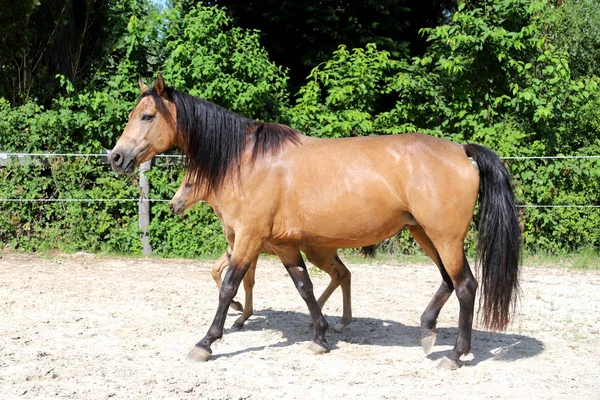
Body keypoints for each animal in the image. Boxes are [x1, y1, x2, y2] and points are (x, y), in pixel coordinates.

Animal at [109, 74, 520, 368]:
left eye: (147, 116)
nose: (116, 157)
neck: (247, 161)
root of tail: (462, 152)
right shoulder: (284, 245)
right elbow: (304, 287)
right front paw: (320, 337)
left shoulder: (248, 238)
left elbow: (228, 287)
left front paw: (206, 342)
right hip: (425, 234)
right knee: (448, 281)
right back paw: (427, 331)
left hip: (445, 237)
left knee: (466, 285)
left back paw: (455, 355)